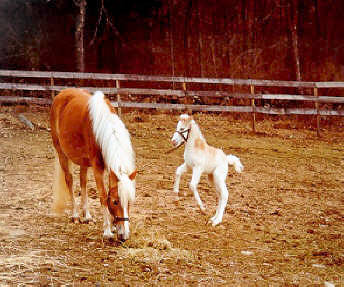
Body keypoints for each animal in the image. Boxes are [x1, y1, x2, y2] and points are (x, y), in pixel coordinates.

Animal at [50, 89, 136, 242]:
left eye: (129, 201)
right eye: (115, 202)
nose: (124, 236)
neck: (103, 128)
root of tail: (61, 94)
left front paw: (113, 227)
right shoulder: (97, 168)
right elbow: (103, 196)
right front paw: (107, 231)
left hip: (83, 161)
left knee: (83, 182)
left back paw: (87, 216)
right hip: (62, 154)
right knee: (69, 181)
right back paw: (76, 216)